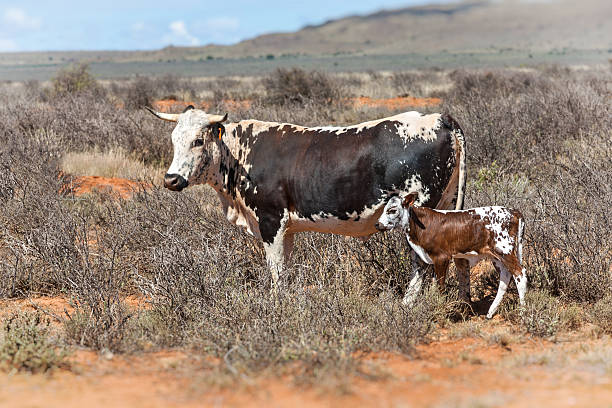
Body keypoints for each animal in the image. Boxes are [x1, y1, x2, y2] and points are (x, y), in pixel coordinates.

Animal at [147, 106, 468, 294]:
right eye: (174, 140)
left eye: (198, 141)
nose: (171, 179)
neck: (240, 154)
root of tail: (440, 118)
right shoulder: (287, 229)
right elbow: (285, 269)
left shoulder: (271, 221)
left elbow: (276, 271)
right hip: (448, 204)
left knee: (421, 262)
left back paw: (407, 304)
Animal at [376, 192, 528, 318]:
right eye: (383, 209)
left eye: (392, 210)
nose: (378, 224)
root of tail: (513, 211)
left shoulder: (441, 258)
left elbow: (441, 286)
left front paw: (441, 311)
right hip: (496, 256)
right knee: (506, 276)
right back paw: (491, 312)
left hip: (505, 251)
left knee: (520, 274)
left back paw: (523, 312)